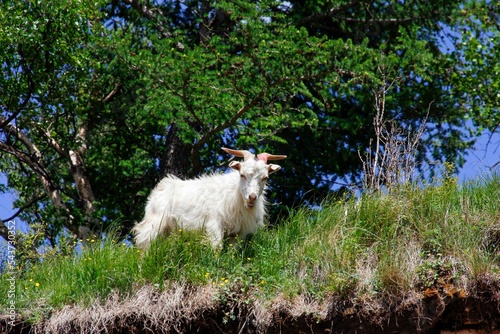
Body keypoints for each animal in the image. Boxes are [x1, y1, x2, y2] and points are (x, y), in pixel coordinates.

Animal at [131, 147, 286, 248]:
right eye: (242, 174)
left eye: (265, 178)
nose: (252, 197)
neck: (235, 194)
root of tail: (162, 187)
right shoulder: (214, 224)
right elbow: (216, 247)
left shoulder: (239, 233)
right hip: (155, 222)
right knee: (145, 242)